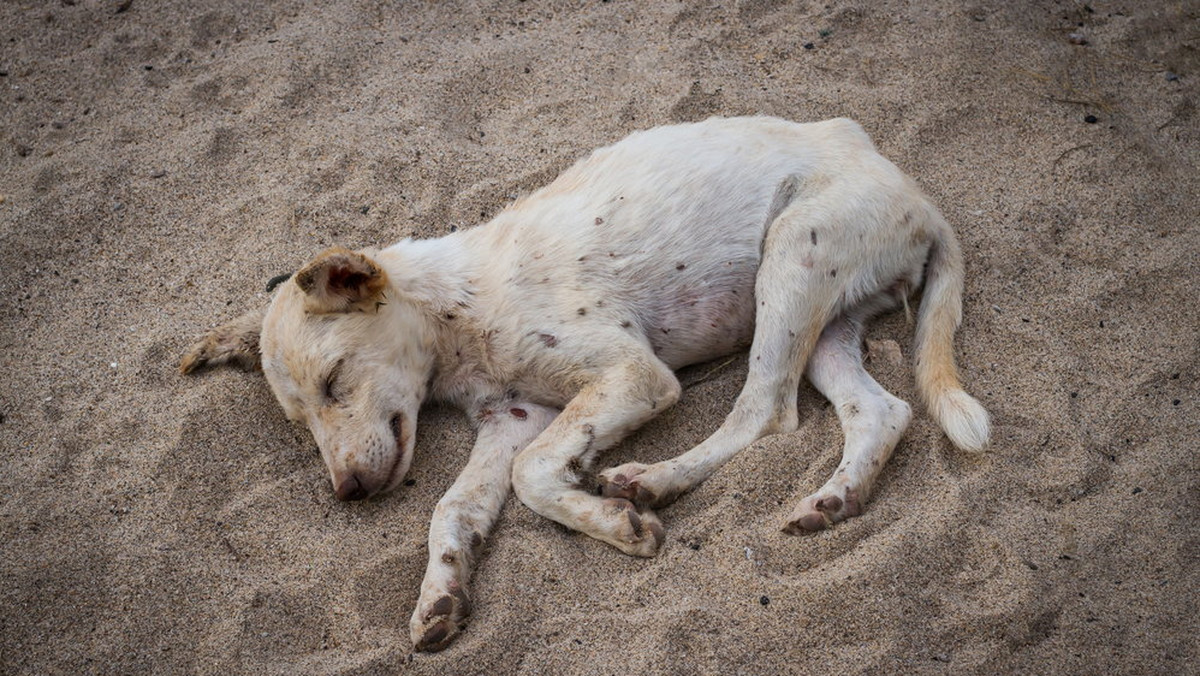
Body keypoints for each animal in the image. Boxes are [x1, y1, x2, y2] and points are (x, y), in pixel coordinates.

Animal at [182, 116, 988, 648]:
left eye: (333, 379)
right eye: (301, 422)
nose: (347, 491)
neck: (459, 307)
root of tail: (918, 196)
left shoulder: (631, 375)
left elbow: (538, 476)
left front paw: (614, 524)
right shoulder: (513, 417)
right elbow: (453, 508)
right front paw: (442, 593)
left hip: (790, 262)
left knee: (765, 412)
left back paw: (651, 481)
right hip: (826, 318)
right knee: (881, 412)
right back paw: (832, 501)